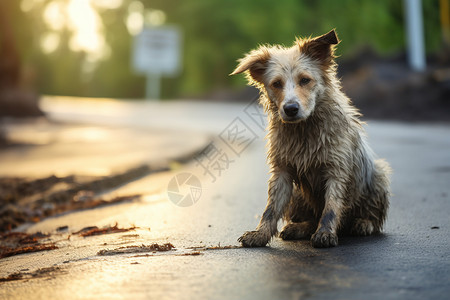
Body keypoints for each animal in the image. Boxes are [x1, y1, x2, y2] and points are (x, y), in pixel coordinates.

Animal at [232, 29, 390, 247]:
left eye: (305, 80)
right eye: (276, 83)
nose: (290, 109)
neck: (304, 131)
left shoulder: (337, 170)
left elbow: (331, 207)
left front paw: (325, 233)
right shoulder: (282, 171)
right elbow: (271, 208)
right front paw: (260, 234)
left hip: (378, 176)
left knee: (372, 217)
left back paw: (362, 223)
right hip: (297, 195)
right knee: (311, 218)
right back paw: (299, 227)